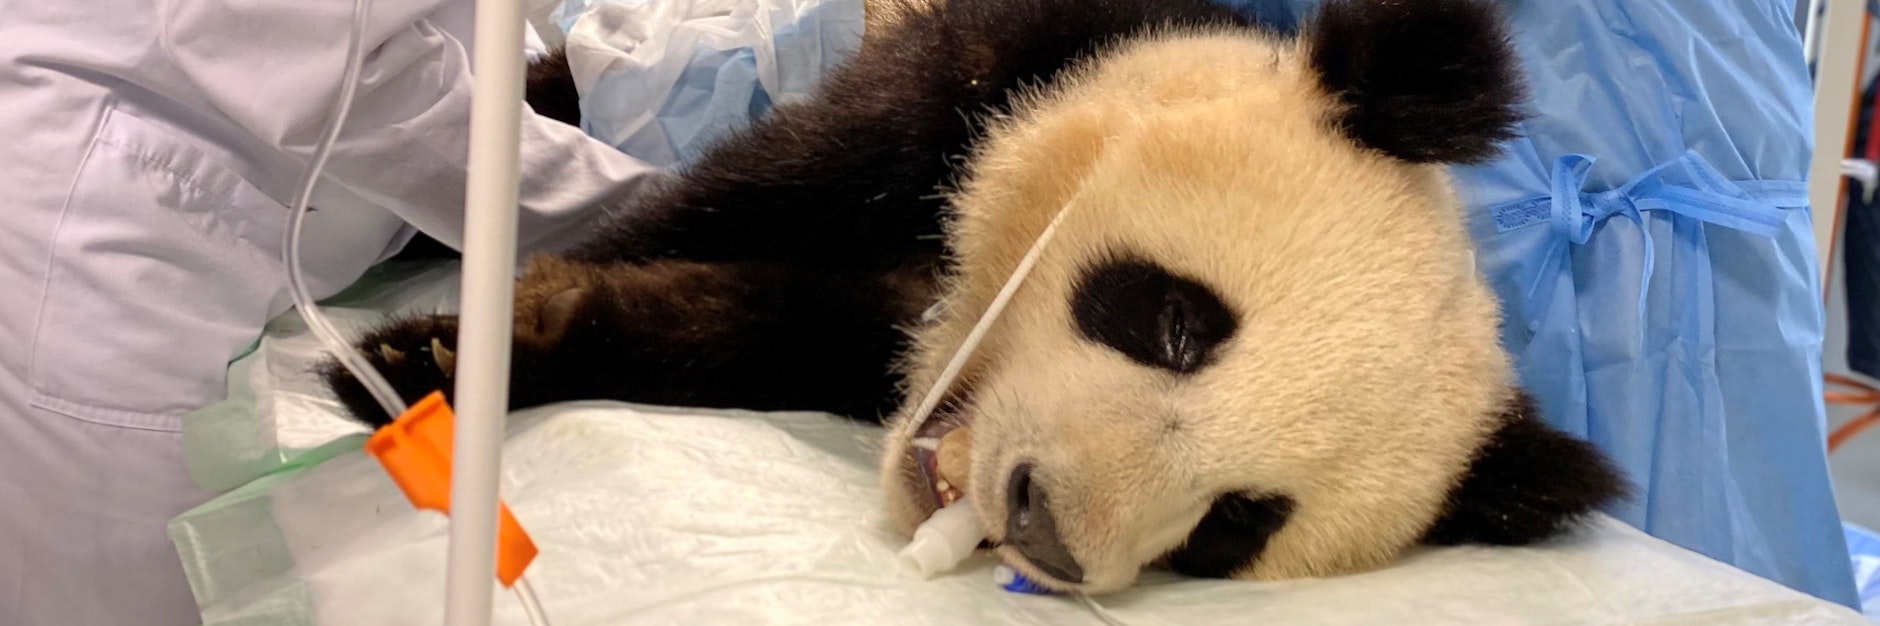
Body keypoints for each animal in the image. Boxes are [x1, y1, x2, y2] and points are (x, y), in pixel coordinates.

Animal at [326, 0, 1626, 595]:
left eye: (1232, 522)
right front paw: (437, 362)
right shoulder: (994, 66)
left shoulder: (859, 341)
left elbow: (750, 327)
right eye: (1176, 323)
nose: (1041, 524)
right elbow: (738, 196)